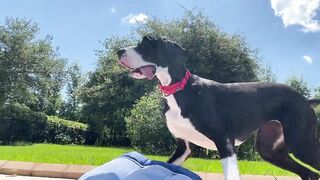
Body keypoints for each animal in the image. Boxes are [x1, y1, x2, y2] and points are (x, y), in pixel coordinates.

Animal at [117, 35, 320, 179]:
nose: (119, 51)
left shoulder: (224, 143)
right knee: (309, 174)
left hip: (302, 145)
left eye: (146, 43)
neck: (181, 88)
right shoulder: (184, 147)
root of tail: (305, 100)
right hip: (271, 151)